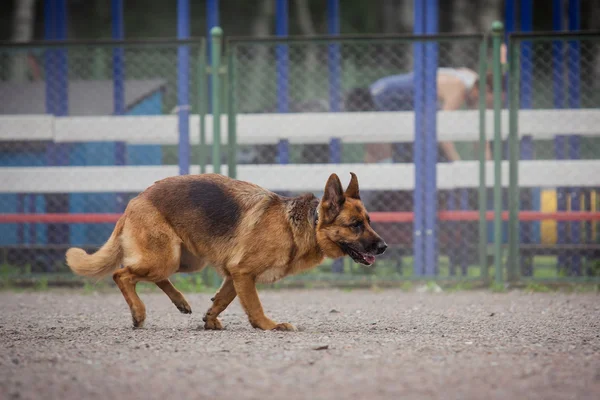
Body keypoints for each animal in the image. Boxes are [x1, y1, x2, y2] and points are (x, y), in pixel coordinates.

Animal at [64, 172, 384, 332]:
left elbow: (223, 300)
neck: (303, 223)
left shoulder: (234, 275)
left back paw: (180, 302)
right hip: (164, 257)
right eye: (355, 225)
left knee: (151, 277)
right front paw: (269, 326)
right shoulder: (243, 273)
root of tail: (136, 199)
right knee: (122, 274)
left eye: (368, 221)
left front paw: (210, 319)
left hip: (183, 260)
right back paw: (138, 313)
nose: (383, 247)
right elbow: (254, 306)